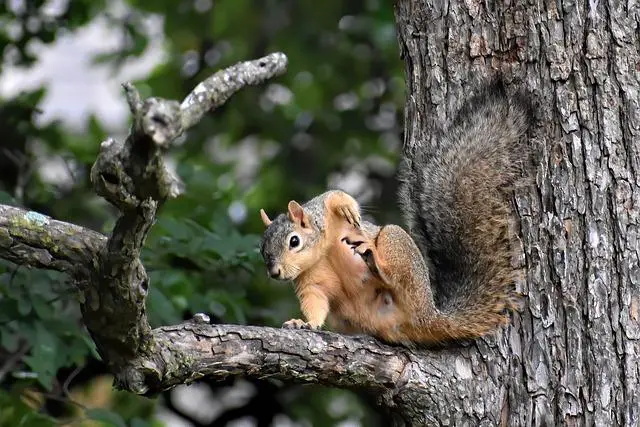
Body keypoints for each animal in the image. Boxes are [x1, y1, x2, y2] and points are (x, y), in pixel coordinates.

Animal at [258, 82, 532, 346]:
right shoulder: (311, 282)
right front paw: (303, 323)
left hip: (396, 243)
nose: (275, 273)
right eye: (262, 251)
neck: (322, 251)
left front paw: (347, 208)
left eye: (294, 241)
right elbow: (315, 302)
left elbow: (335, 196)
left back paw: (377, 264)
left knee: (395, 277)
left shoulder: (323, 211)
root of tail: (429, 316)